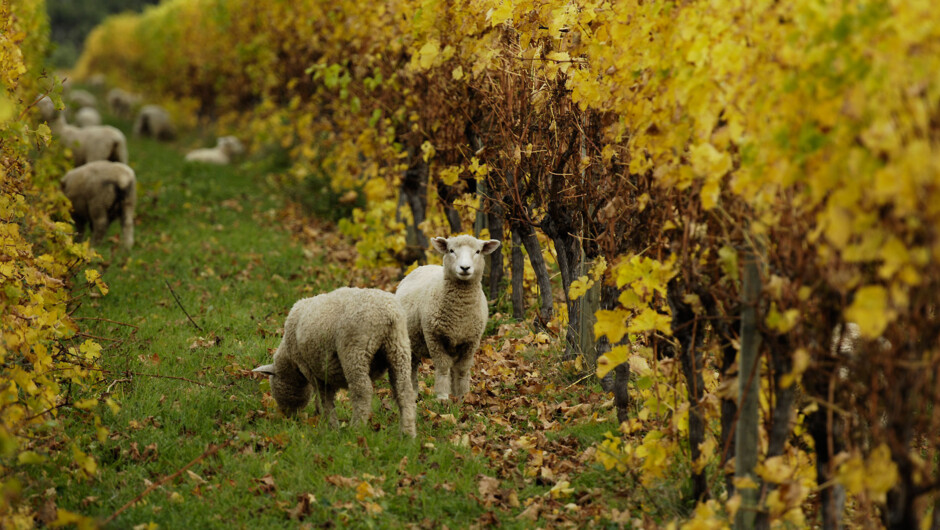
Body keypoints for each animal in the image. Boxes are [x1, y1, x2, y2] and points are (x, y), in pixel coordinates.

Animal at [255, 286, 420, 436]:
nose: (287, 416)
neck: (290, 361)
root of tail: (388, 314)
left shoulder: (313, 371)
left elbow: (324, 398)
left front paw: (330, 425)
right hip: (399, 348)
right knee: (404, 391)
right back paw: (407, 434)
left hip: (355, 350)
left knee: (362, 391)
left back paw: (356, 428)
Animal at [394, 233, 504, 398]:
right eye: (451, 250)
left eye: (478, 251)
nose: (465, 268)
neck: (459, 314)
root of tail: (423, 266)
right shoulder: (434, 337)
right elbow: (443, 367)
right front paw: (442, 396)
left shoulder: (471, 341)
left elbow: (462, 369)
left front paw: (463, 397)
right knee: (410, 369)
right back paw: (412, 394)